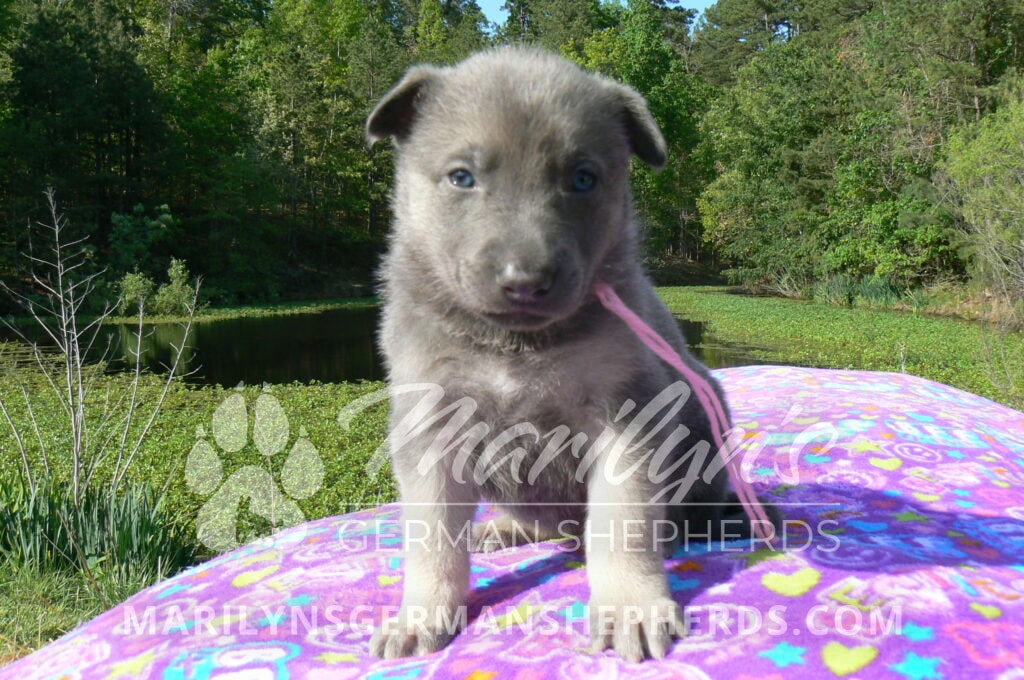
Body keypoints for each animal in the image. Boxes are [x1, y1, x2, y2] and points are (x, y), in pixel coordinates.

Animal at [366, 48, 770, 662]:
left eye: (583, 178)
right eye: (462, 177)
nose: (525, 281)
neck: (516, 344)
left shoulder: (626, 414)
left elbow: (622, 522)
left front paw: (631, 606)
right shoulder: (431, 423)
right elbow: (432, 535)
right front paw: (422, 614)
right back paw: (505, 528)